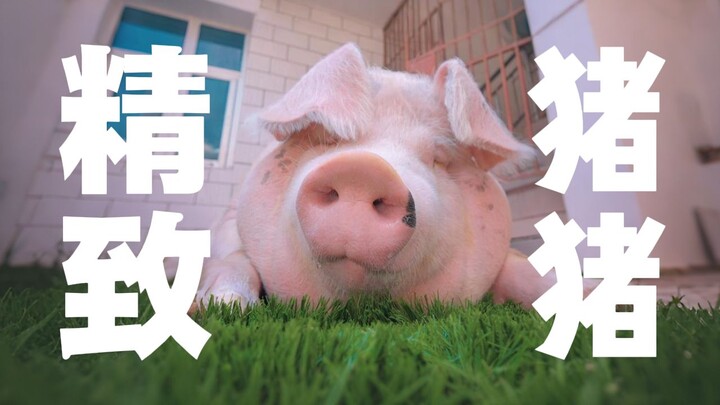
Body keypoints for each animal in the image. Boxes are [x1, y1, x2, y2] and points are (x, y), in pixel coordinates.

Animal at [194, 43, 557, 310]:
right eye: (330, 139)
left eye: (439, 158)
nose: (363, 169)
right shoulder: (227, 225)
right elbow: (234, 258)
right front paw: (225, 306)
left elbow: (523, 265)